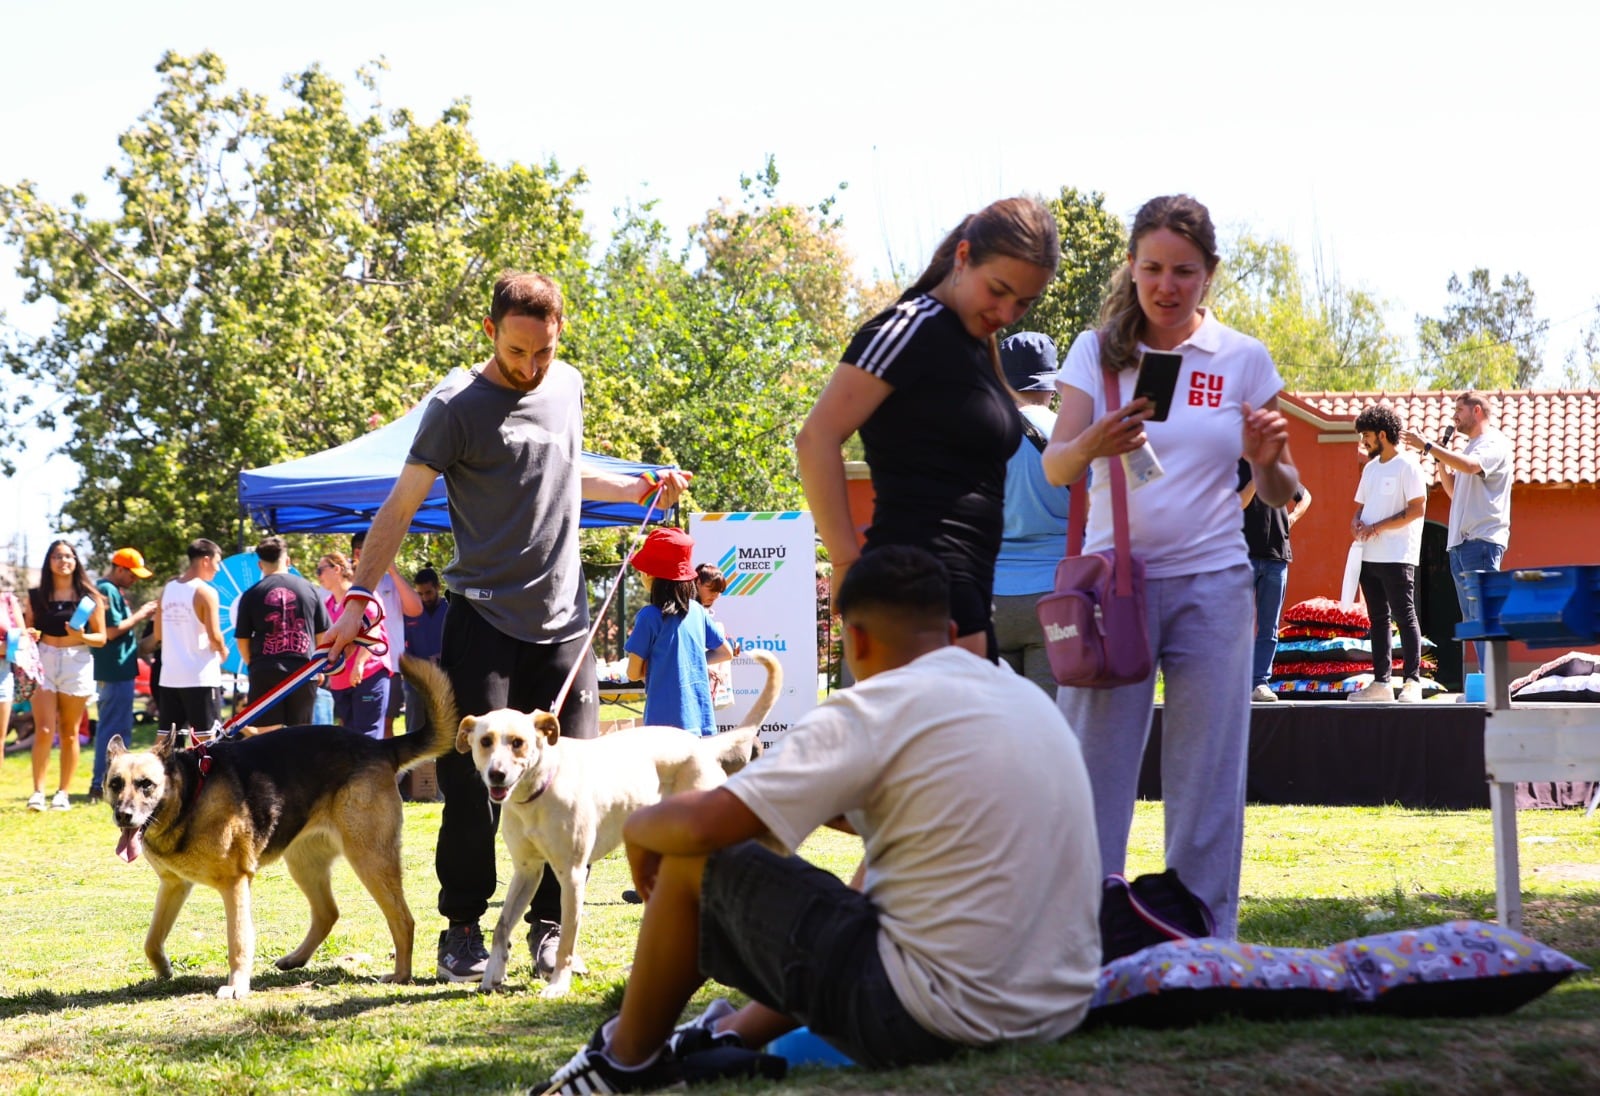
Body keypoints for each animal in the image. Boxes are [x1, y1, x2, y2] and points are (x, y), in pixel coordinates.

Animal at [105, 652, 457, 998]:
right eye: (115, 784)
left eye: (147, 785)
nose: (123, 816)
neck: (191, 794)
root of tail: (380, 746)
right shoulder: (173, 885)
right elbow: (151, 940)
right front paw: (163, 968)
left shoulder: (235, 884)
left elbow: (238, 941)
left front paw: (237, 986)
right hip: (304, 863)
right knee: (328, 913)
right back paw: (296, 958)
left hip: (369, 859)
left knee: (403, 919)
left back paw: (401, 975)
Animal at [457, 652, 780, 998]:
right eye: (486, 741)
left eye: (518, 742)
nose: (497, 774)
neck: (539, 789)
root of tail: (701, 746)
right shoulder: (527, 870)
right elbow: (502, 924)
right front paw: (493, 973)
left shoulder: (571, 874)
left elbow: (566, 940)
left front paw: (558, 984)